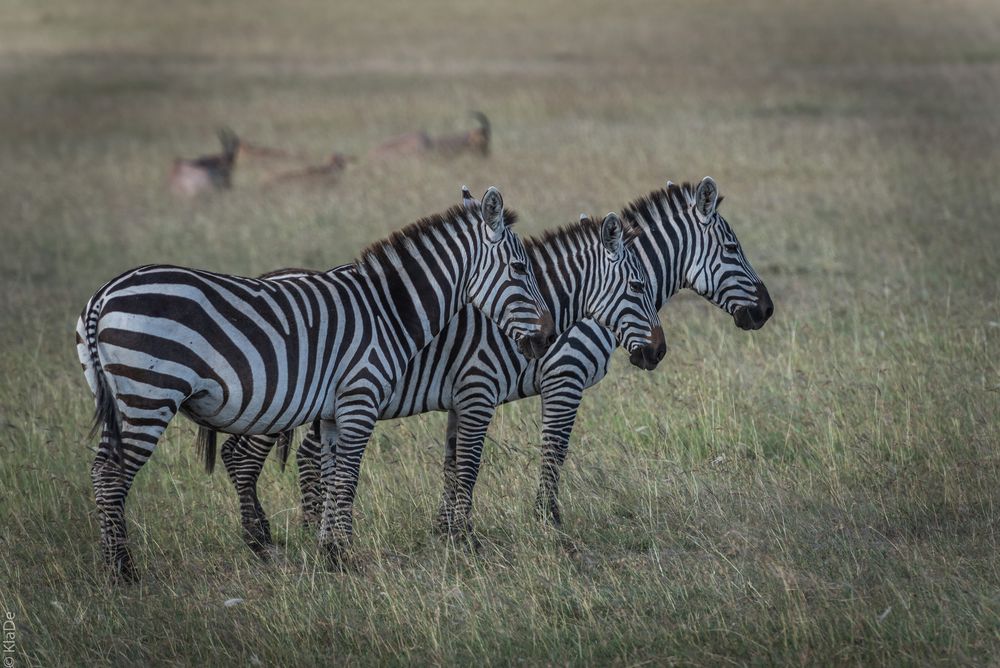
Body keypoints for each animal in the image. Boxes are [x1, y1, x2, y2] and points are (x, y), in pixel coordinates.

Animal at [76, 185, 556, 576]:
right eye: (520, 268)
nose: (548, 337)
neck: (388, 310)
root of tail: (103, 295)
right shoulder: (360, 396)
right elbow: (346, 478)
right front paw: (343, 556)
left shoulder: (331, 412)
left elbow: (329, 474)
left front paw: (330, 553)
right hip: (148, 395)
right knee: (110, 475)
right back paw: (122, 570)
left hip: (122, 401)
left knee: (102, 471)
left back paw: (114, 562)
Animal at [229, 179, 772, 548]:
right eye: (733, 248)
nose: (767, 311)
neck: (583, 306)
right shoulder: (561, 376)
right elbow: (551, 452)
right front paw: (548, 522)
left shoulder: (463, 394)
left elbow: (454, 465)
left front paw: (446, 533)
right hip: (279, 398)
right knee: (243, 454)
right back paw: (261, 538)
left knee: (301, 454)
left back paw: (301, 530)